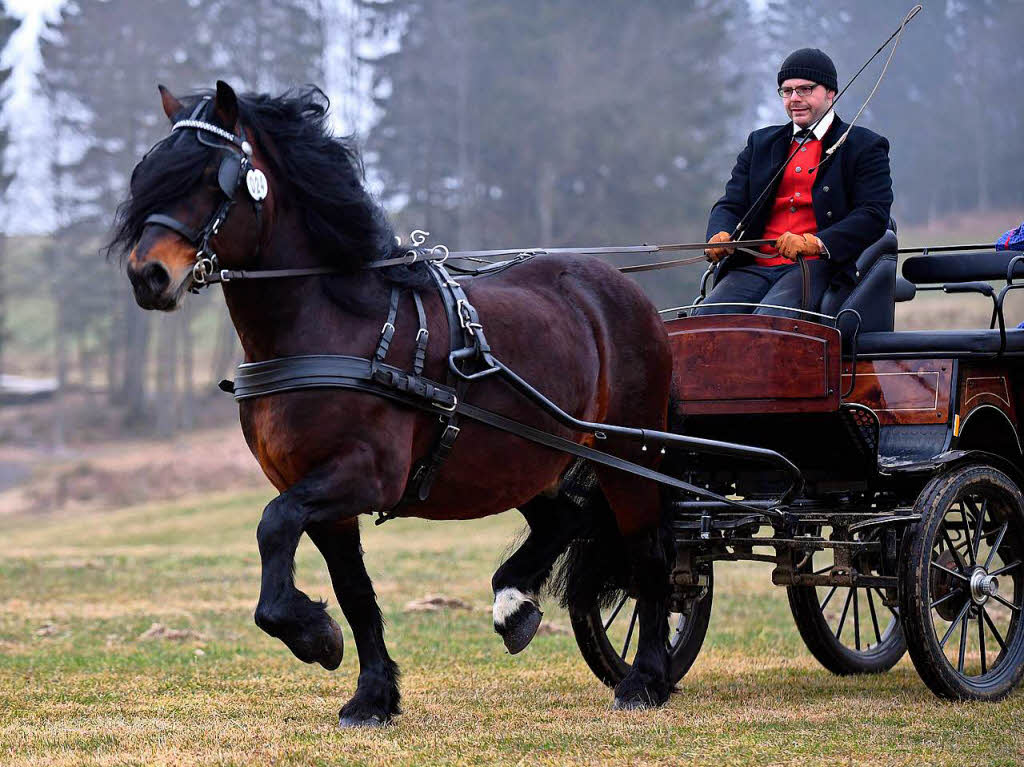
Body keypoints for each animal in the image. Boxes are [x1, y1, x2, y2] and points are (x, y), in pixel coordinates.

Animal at [110, 80, 671, 729]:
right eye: (149, 174)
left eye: (210, 177)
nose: (148, 275)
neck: (330, 325)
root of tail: (623, 288)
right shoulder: (317, 491)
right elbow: (353, 591)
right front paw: (372, 693)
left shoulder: (362, 476)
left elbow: (273, 524)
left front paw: (315, 636)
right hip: (523, 457)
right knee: (567, 519)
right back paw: (514, 606)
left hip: (629, 453)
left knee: (649, 552)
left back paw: (646, 678)